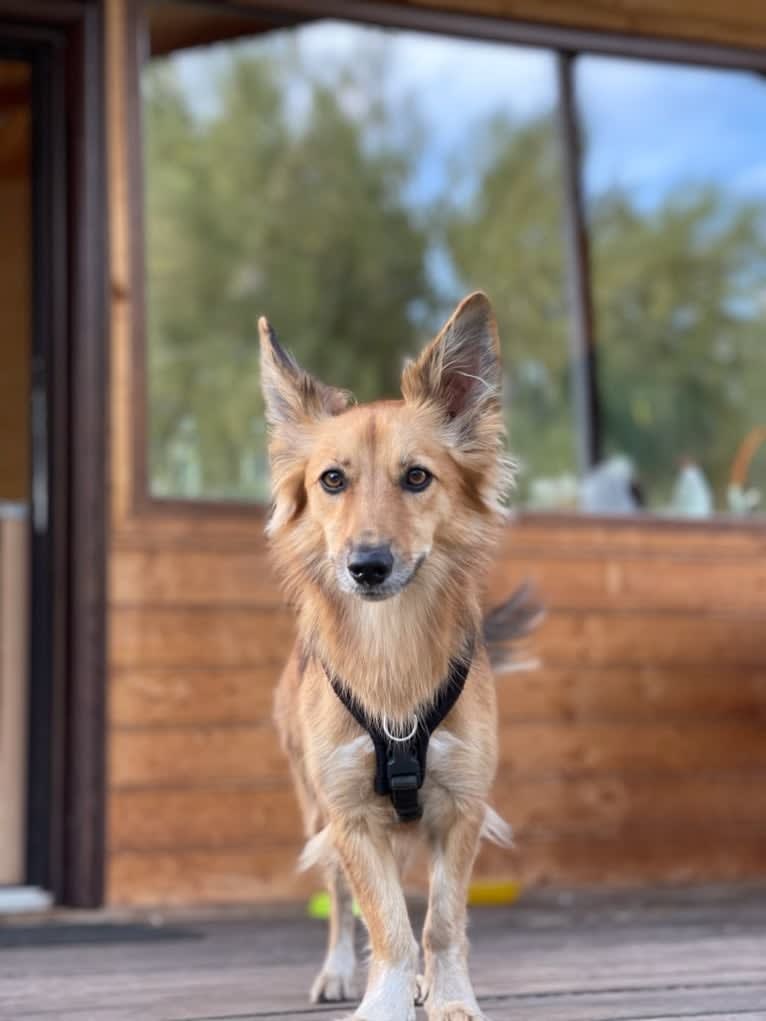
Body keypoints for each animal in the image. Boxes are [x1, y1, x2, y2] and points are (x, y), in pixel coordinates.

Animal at [261, 294, 543, 1021]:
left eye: (417, 477)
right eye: (332, 480)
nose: (367, 565)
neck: (392, 649)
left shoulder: (462, 805)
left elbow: (441, 921)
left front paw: (449, 996)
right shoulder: (351, 817)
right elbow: (385, 920)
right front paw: (385, 998)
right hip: (317, 808)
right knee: (341, 903)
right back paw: (337, 971)